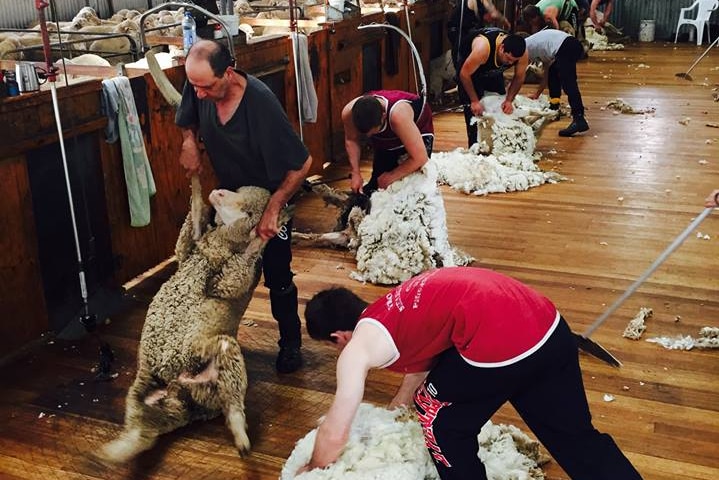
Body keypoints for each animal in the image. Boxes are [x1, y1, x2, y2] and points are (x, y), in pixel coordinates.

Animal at [100, 183, 294, 462]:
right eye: (237, 191)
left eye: (248, 213)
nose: (219, 192)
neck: (215, 245)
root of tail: (185, 399)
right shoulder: (185, 253)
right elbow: (186, 233)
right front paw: (197, 195)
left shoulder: (229, 281)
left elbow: (246, 259)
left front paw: (270, 229)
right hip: (143, 387)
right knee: (142, 430)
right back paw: (112, 452)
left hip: (220, 359)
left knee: (232, 402)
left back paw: (241, 437)